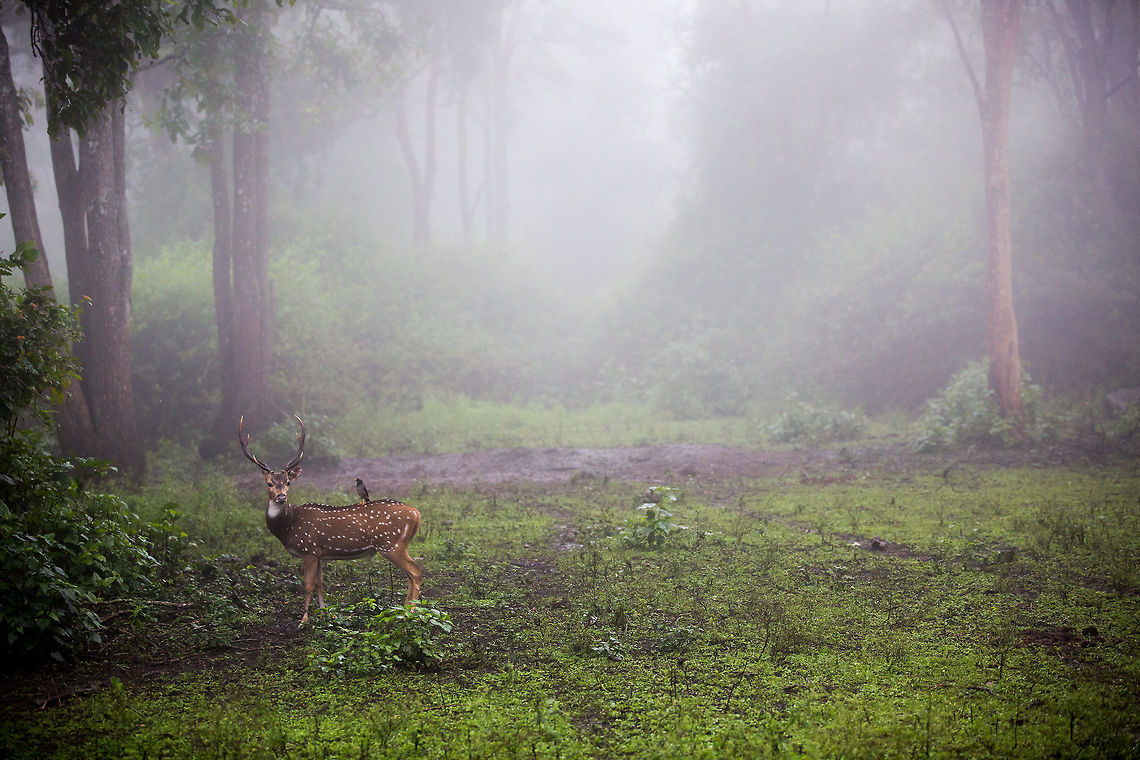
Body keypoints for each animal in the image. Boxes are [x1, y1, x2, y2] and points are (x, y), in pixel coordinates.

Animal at [239, 415, 423, 625]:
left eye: (288, 482)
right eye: (270, 483)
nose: (281, 497)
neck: (289, 526)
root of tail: (416, 513)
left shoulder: (308, 549)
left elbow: (307, 585)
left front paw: (303, 620)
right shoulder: (319, 553)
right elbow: (320, 583)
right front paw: (324, 612)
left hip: (391, 543)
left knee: (416, 571)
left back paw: (411, 612)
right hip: (397, 544)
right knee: (409, 574)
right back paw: (404, 609)